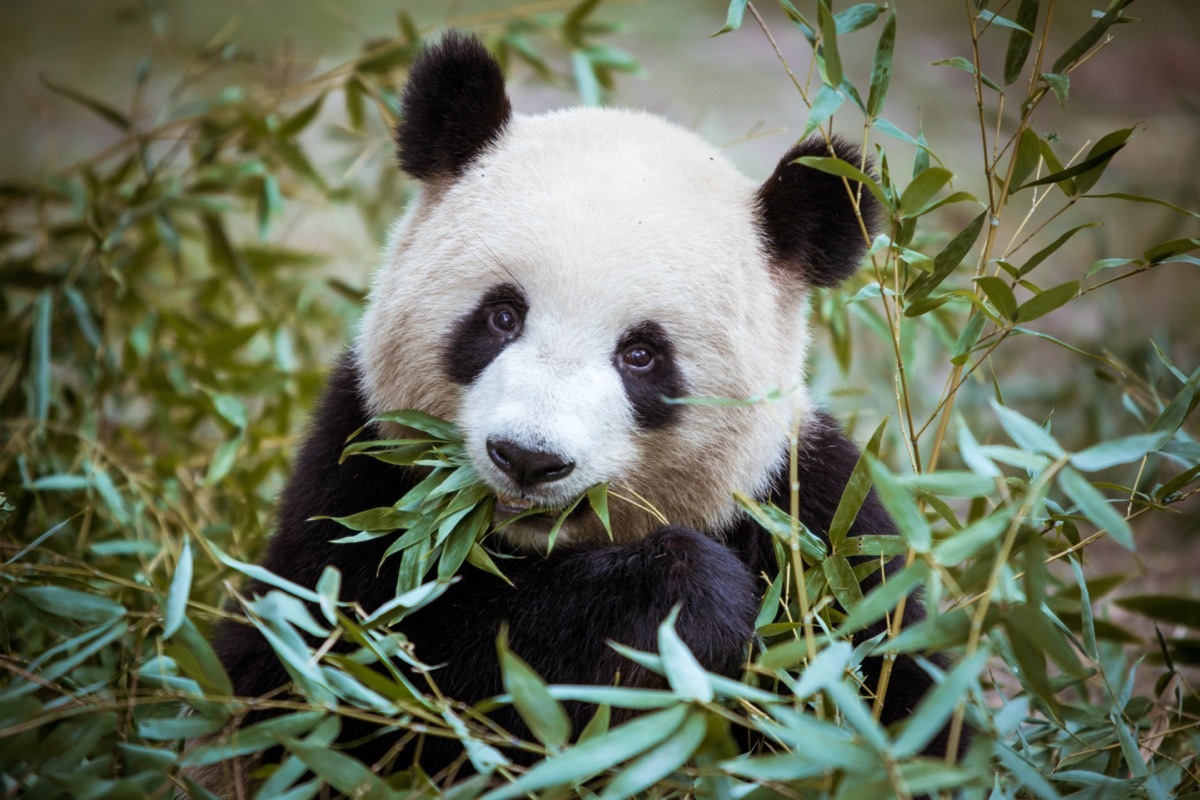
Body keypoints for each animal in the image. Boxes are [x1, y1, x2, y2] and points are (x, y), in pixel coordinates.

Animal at [213, 31, 945, 786]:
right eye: (502, 316)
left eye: (642, 355)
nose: (528, 458)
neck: (533, 547)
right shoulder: (359, 473)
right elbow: (352, 677)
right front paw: (688, 600)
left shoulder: (817, 525)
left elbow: (897, 696)